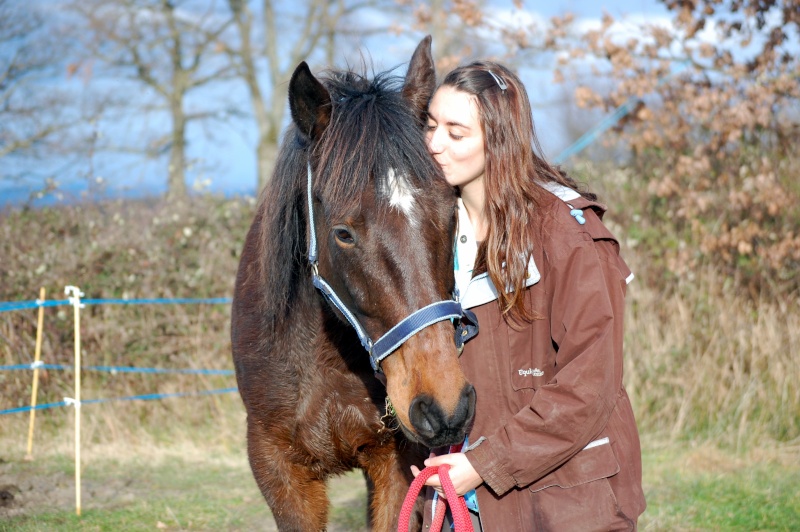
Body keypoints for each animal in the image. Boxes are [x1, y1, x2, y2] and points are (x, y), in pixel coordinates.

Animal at [231, 35, 478, 528]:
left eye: (452, 210)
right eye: (343, 233)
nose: (445, 407)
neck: (326, 357)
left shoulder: (398, 465)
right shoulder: (279, 471)